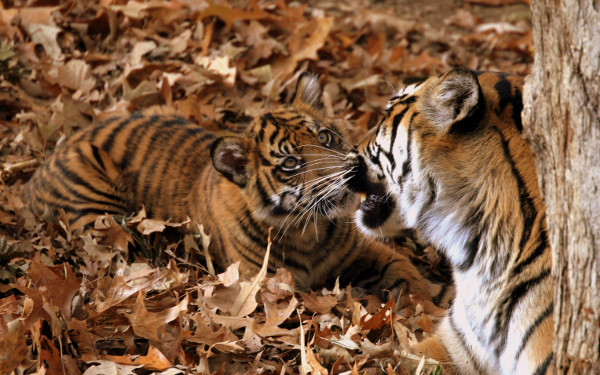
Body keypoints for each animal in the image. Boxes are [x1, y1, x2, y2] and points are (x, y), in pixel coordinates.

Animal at [19, 73, 436, 302]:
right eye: (290, 163)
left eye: (325, 137)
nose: (350, 171)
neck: (309, 231)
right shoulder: (266, 285)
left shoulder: (367, 252)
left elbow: (408, 274)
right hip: (97, 213)